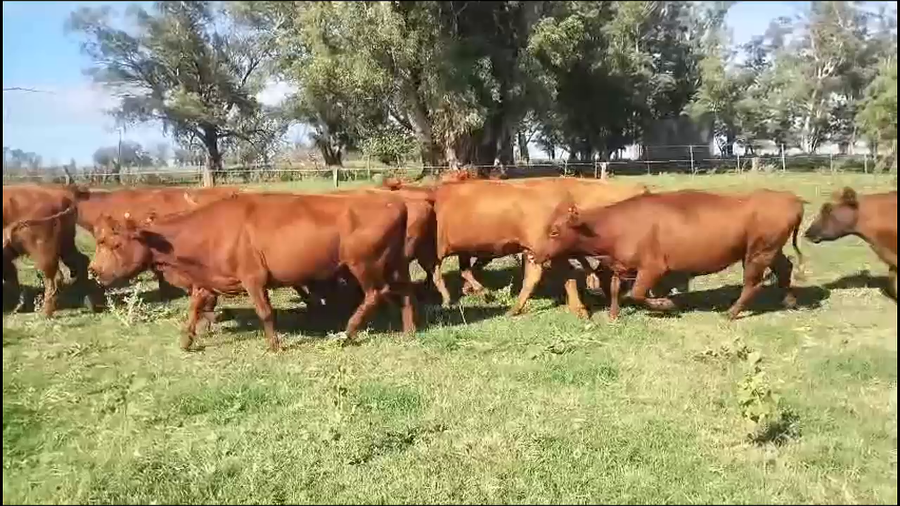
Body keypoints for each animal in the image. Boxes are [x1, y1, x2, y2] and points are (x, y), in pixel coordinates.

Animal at [3, 184, 103, 316]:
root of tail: (63, 194)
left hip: (43, 251)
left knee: (53, 279)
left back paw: (45, 313)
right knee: (80, 261)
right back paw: (89, 301)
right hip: (66, 244)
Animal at [87, 192, 415, 351]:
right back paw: (409, 330)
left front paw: (274, 346)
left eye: (115, 243)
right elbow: (193, 309)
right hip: (395, 265)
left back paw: (347, 332)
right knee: (404, 293)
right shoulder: (207, 280)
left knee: (374, 294)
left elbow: (265, 313)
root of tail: (394, 201)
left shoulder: (253, 278)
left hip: (364, 264)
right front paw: (186, 340)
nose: (93, 270)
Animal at [533, 189, 806, 320]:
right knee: (785, 268)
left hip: (757, 255)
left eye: (554, 231)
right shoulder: (622, 265)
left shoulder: (653, 268)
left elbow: (638, 293)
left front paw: (667, 304)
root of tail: (791, 199)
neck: (617, 225)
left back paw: (731, 313)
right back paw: (790, 301)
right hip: (771, 251)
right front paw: (613, 315)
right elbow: (615, 288)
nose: (535, 255)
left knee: (753, 284)